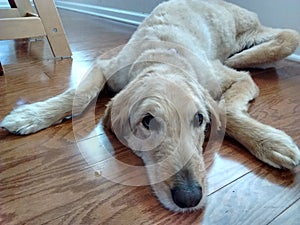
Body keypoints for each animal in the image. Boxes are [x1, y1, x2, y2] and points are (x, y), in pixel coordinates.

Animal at [0, 0, 300, 213]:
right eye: (147, 121)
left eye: (199, 119)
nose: (189, 197)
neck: (164, 58)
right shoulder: (106, 66)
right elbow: (82, 94)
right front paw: (33, 113)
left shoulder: (231, 79)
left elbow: (225, 109)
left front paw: (271, 142)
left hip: (248, 33)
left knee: (288, 36)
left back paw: (242, 56)